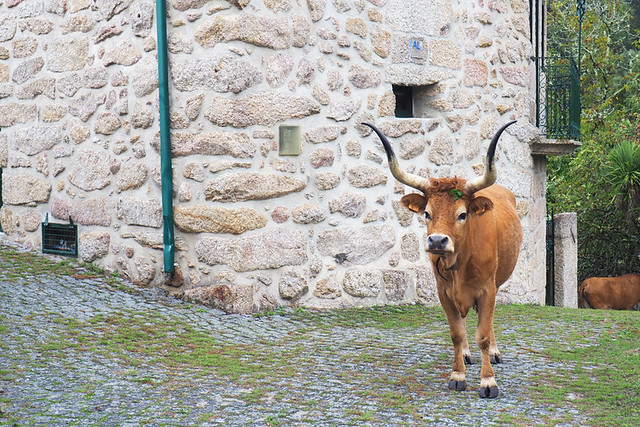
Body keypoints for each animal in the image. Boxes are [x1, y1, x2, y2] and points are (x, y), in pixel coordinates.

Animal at [368, 119, 524, 398]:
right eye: (427, 213)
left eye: (462, 214)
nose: (438, 241)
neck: (460, 264)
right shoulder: (444, 291)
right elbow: (456, 333)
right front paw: (458, 375)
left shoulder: (487, 289)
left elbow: (483, 334)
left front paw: (488, 382)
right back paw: (467, 355)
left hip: (497, 283)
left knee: (489, 323)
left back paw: (494, 353)